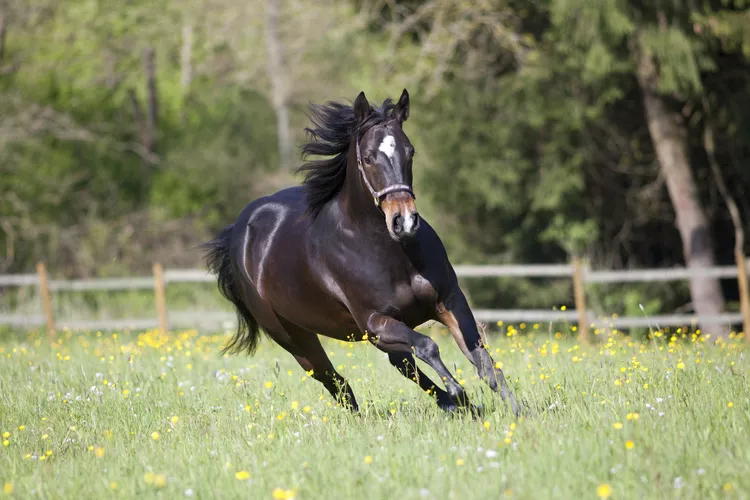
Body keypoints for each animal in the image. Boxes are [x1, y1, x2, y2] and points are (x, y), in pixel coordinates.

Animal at [202, 89, 520, 416]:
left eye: (410, 152)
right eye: (368, 158)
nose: (404, 221)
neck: (390, 254)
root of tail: (239, 231)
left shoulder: (449, 302)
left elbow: (484, 362)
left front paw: (517, 412)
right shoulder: (374, 321)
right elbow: (428, 345)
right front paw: (458, 391)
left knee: (400, 364)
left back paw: (459, 406)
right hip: (294, 337)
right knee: (335, 380)